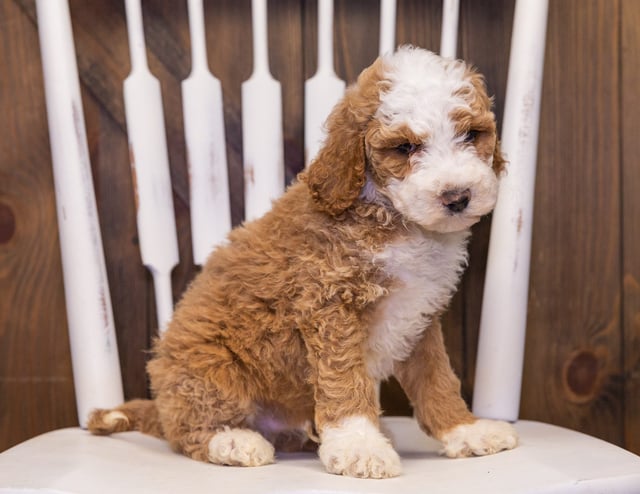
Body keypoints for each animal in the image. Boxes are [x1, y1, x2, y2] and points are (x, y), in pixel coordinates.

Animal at [90, 46, 516, 478]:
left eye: (471, 135)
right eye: (405, 148)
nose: (457, 197)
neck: (392, 218)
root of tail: (160, 406)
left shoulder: (419, 317)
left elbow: (437, 380)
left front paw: (465, 430)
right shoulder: (330, 304)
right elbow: (344, 380)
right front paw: (360, 445)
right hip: (207, 371)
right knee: (189, 430)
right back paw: (234, 441)